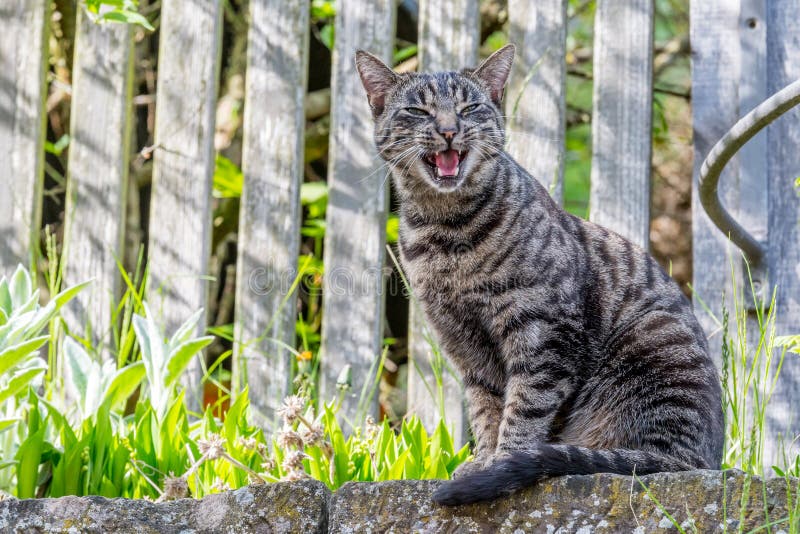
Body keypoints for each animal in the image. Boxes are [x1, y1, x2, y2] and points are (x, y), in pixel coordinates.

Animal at [356, 45, 724, 506]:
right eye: (418, 110)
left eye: (469, 108)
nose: (448, 130)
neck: (447, 233)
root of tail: (702, 459)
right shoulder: (463, 341)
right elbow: (486, 408)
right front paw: (485, 459)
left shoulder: (543, 331)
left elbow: (525, 406)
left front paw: (503, 462)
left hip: (653, 349)